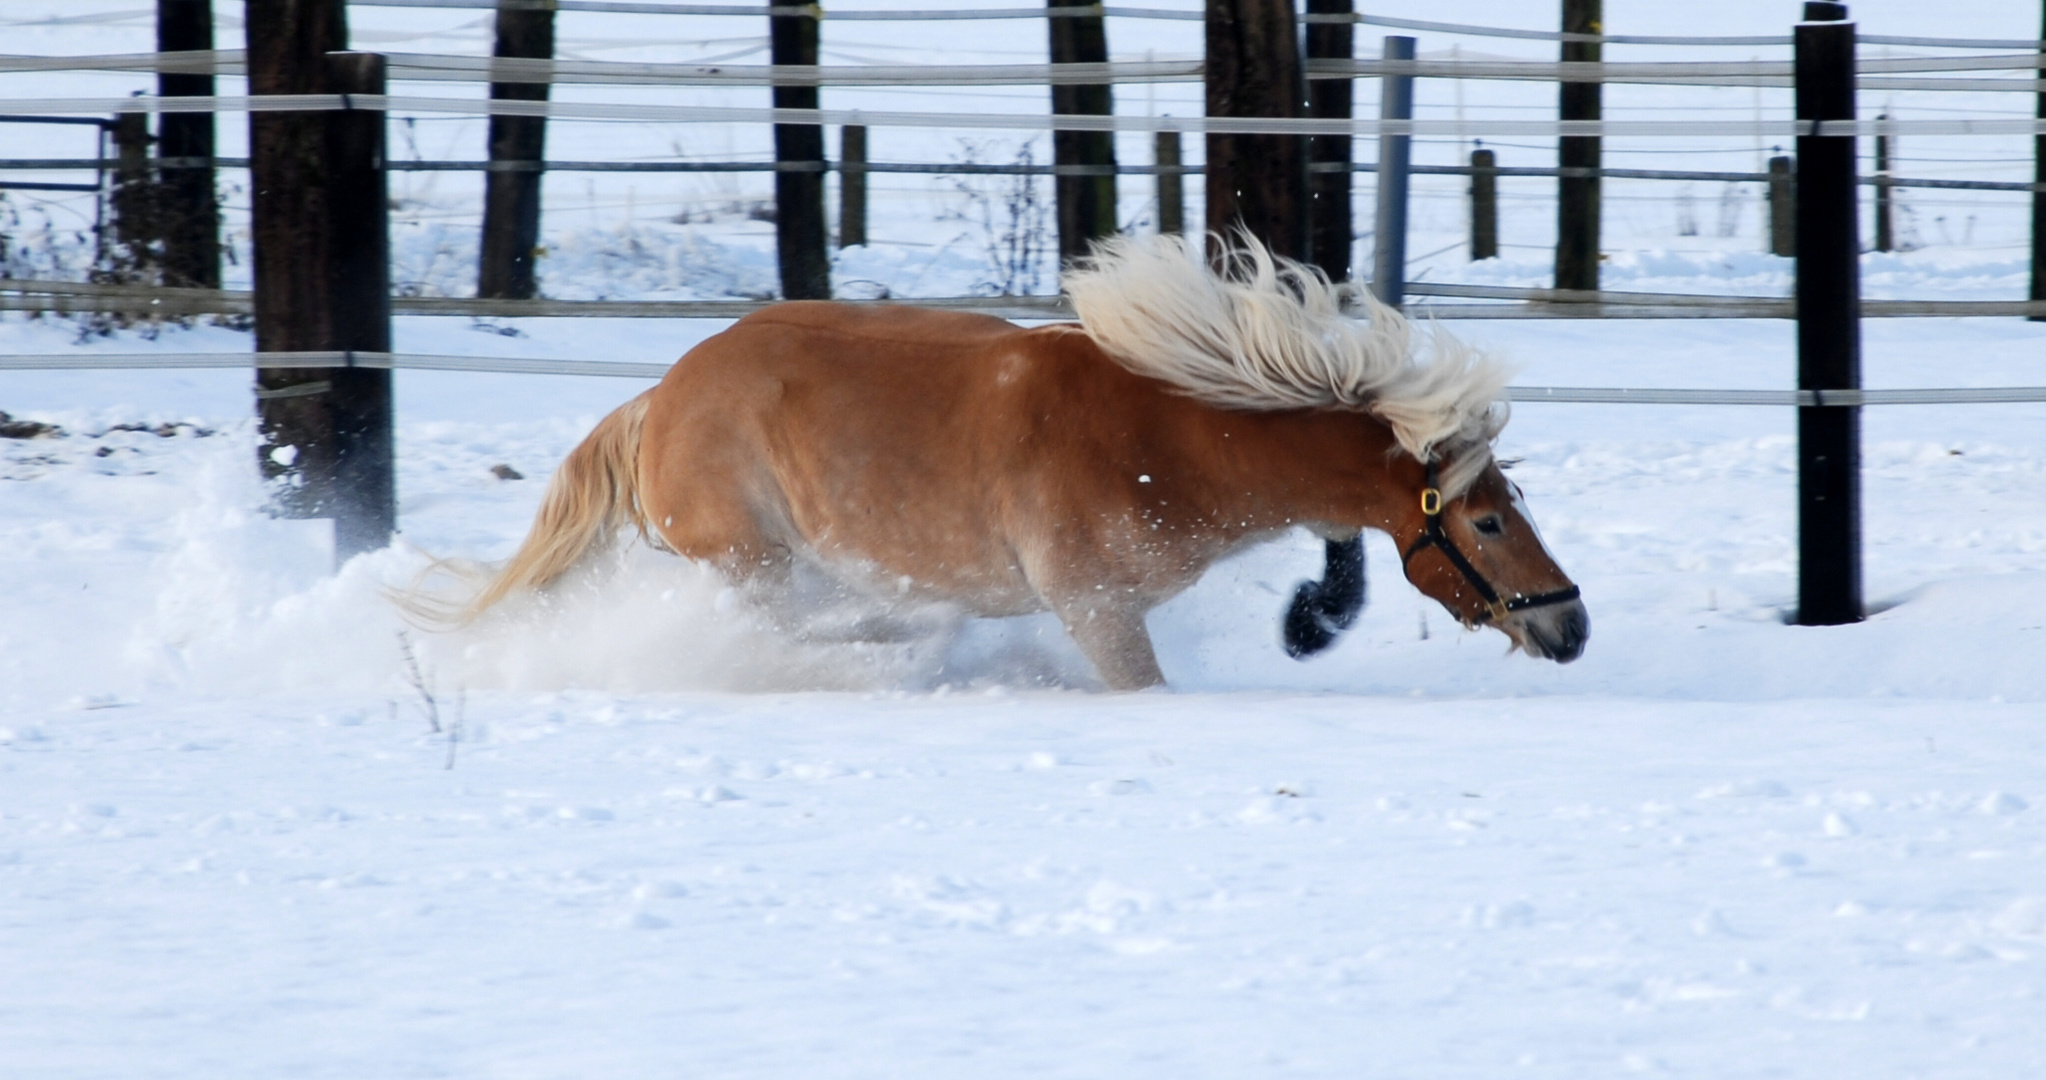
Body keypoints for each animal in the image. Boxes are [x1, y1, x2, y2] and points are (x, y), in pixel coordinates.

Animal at [439, 237, 1587, 691]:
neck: (1167, 436)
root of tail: (657, 401)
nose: (1569, 624)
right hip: (746, 561)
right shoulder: (1097, 609)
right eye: (1488, 521)